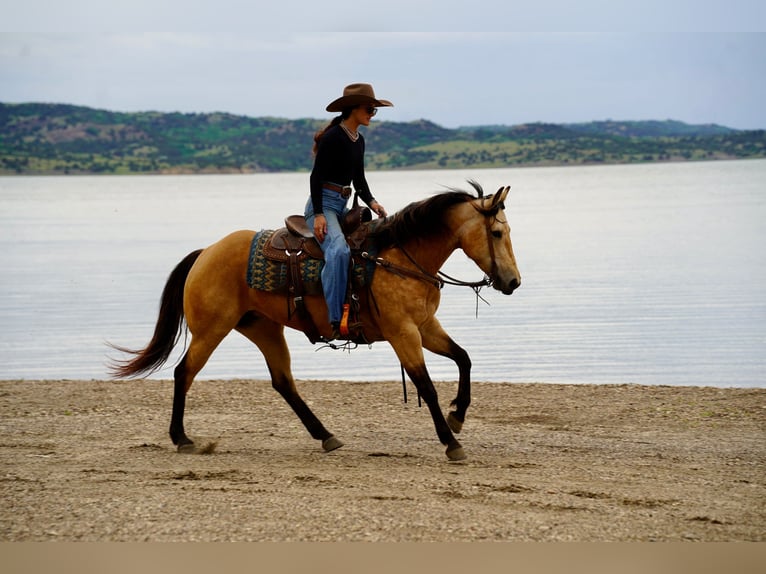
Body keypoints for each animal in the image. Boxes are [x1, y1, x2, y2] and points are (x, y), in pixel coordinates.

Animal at [109, 181, 521, 461]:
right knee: (185, 373)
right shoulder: (402, 333)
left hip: (263, 328)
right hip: (211, 330)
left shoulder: (425, 327)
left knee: (283, 382)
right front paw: (451, 441)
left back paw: (325, 435)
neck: (397, 257)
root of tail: (206, 252)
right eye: (497, 232)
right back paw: (182, 438)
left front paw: (458, 416)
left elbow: (463, 358)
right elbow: (427, 386)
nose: (513, 282)